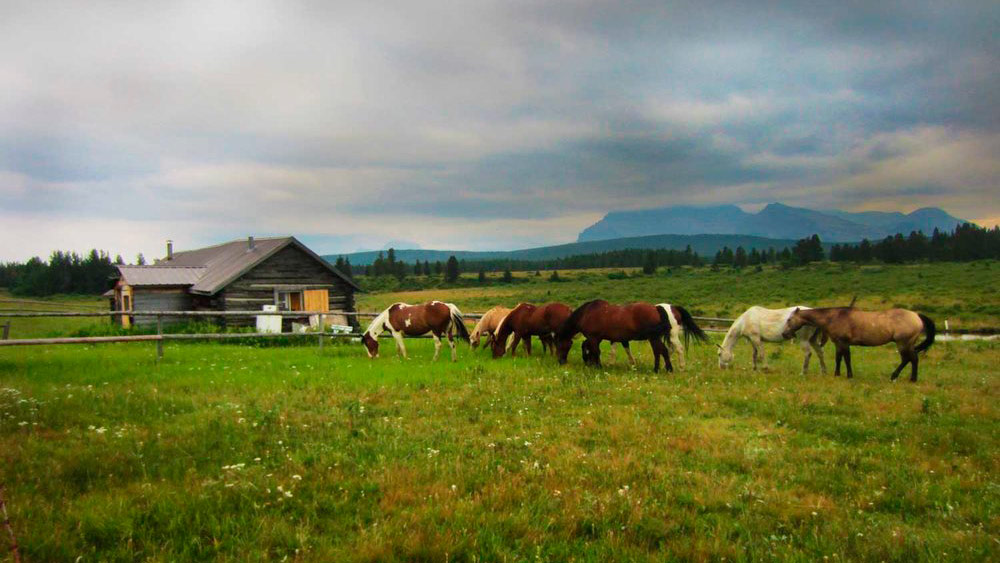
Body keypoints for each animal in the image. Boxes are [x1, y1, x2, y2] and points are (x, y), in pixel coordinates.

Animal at [780, 308, 936, 384]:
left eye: (789, 319)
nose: (784, 334)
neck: (834, 317)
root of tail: (916, 315)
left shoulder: (843, 342)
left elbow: (846, 359)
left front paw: (849, 375)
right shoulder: (838, 343)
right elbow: (839, 358)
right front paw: (837, 374)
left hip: (903, 343)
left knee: (909, 359)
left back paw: (898, 377)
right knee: (912, 359)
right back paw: (910, 378)